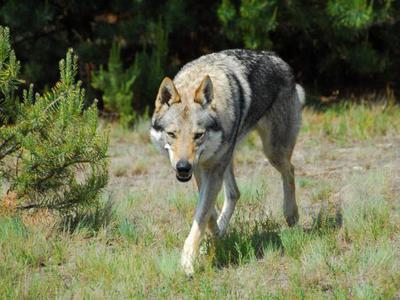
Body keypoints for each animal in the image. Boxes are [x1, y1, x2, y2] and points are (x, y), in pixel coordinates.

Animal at [149, 48, 304, 274]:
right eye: (172, 134)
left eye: (198, 135)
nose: (183, 167)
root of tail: (279, 60)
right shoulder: (201, 169)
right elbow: (207, 212)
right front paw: (214, 233)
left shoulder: (211, 171)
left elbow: (201, 216)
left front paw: (188, 262)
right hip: (229, 159)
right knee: (235, 193)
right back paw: (220, 229)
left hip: (272, 152)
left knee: (290, 170)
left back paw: (291, 214)